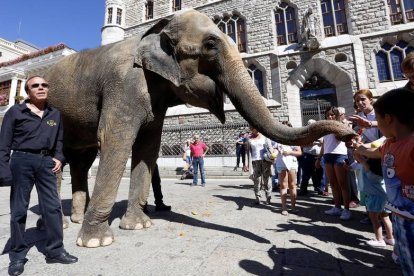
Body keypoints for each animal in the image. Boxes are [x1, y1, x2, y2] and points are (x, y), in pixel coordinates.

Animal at [44, 9, 356, 248]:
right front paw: (96, 242)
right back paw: (63, 225)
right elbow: (115, 141)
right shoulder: (123, 84)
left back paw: (74, 219)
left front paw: (138, 226)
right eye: (210, 45)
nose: (351, 134)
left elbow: (147, 149)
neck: (155, 32)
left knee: (80, 162)